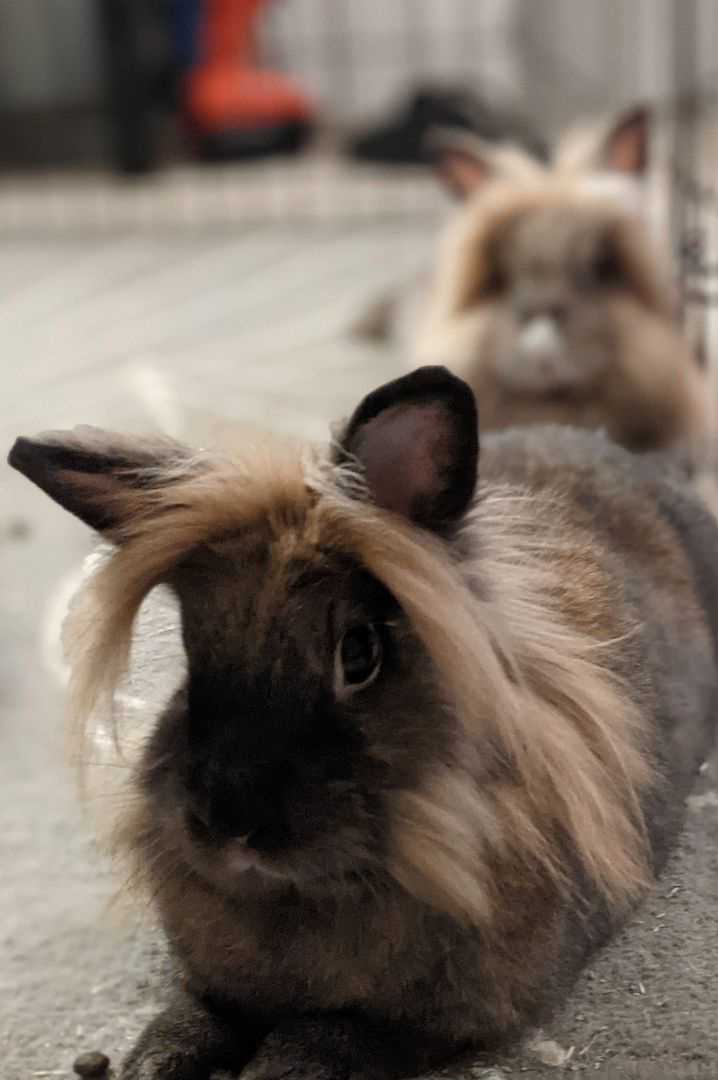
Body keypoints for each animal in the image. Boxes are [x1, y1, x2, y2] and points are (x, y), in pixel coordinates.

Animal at [7, 365, 716, 1080]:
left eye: (360, 654)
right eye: (190, 658)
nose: (231, 826)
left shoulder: (431, 1022)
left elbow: (325, 1040)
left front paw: (269, 1067)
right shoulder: (216, 987)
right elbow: (194, 1017)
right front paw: (151, 1063)